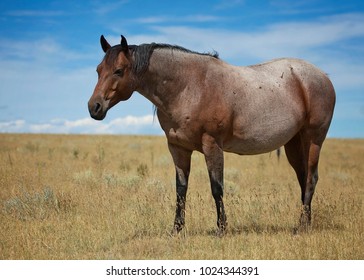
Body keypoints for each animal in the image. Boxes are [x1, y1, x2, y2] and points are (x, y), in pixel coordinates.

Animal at [87, 35, 336, 236]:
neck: (189, 87)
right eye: (98, 70)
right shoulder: (177, 148)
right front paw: (176, 230)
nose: (94, 107)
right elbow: (180, 189)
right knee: (303, 178)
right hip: (293, 143)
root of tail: (323, 76)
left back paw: (302, 227)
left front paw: (221, 229)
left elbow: (217, 188)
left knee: (311, 178)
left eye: (119, 71)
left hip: (313, 139)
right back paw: (304, 222)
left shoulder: (212, 144)